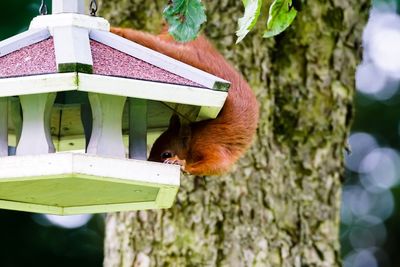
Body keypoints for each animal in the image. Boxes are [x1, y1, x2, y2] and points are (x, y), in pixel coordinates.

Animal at [110, 27, 260, 176]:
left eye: (166, 154)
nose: (149, 161)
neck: (192, 138)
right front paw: (183, 163)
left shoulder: (208, 143)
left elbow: (217, 164)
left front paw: (181, 164)